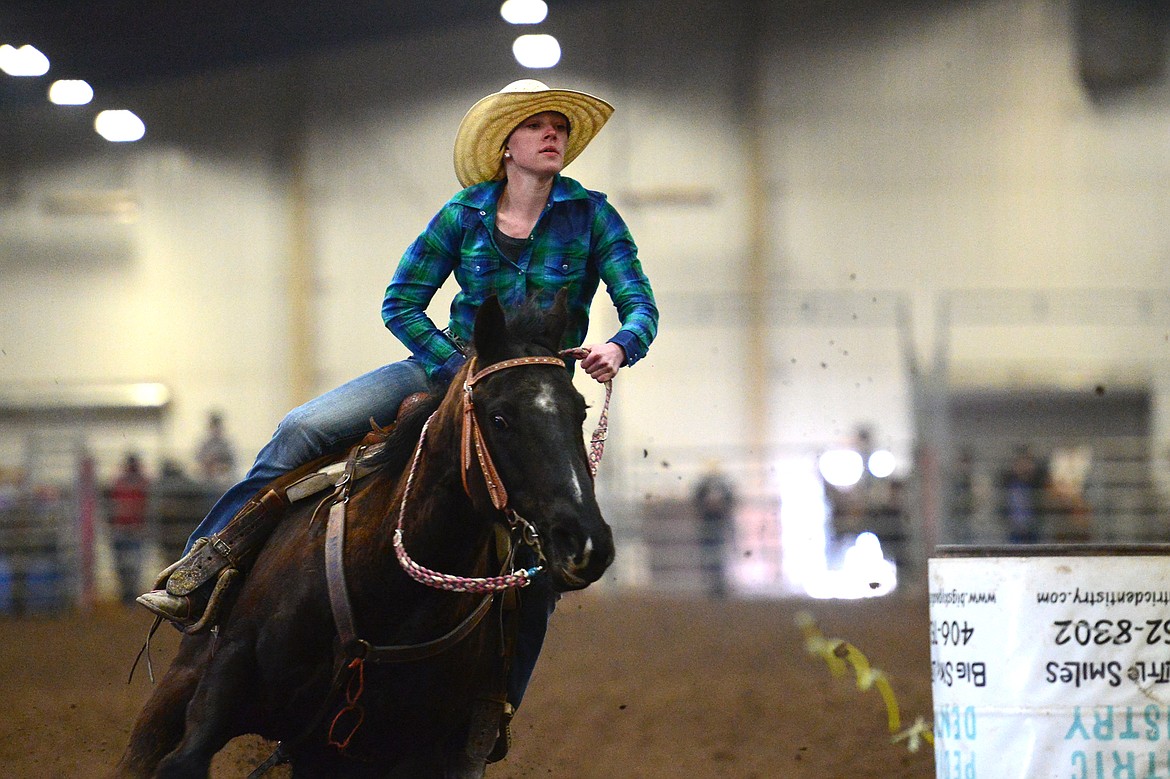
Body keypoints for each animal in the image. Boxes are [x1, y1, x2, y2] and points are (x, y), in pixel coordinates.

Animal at [114, 292, 617, 776]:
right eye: (499, 418)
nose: (586, 542)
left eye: (581, 412)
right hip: (179, 686)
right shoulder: (226, 675)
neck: (386, 588)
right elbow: (183, 762)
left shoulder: (410, 754)